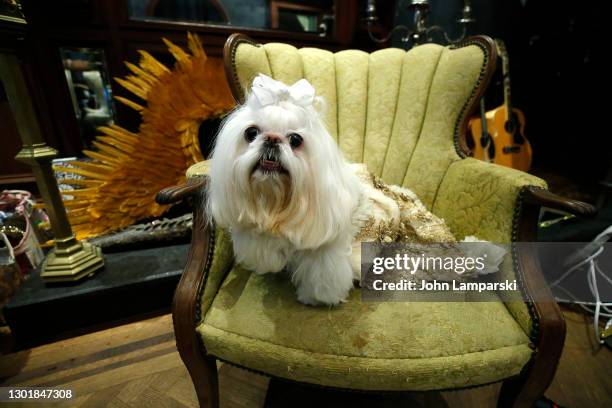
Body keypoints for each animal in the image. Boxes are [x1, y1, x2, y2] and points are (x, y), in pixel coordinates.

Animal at [207, 74, 502, 306]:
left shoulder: (327, 253)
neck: (279, 202)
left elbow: (322, 275)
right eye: (251, 133)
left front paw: (314, 298)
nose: (271, 139)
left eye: (295, 140)